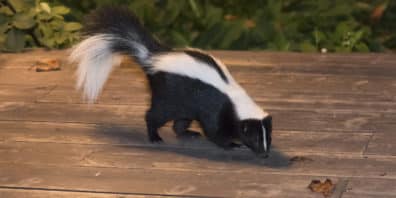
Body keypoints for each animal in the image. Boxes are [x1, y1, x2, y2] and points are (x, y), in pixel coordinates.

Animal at [69, 7, 272, 156]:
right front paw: (231, 144)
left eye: (267, 137)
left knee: (180, 122)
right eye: (253, 137)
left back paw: (189, 133)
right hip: (167, 96)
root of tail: (153, 58)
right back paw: (154, 136)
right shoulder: (216, 109)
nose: (264, 154)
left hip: (184, 103)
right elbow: (214, 131)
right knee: (154, 115)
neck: (234, 98)